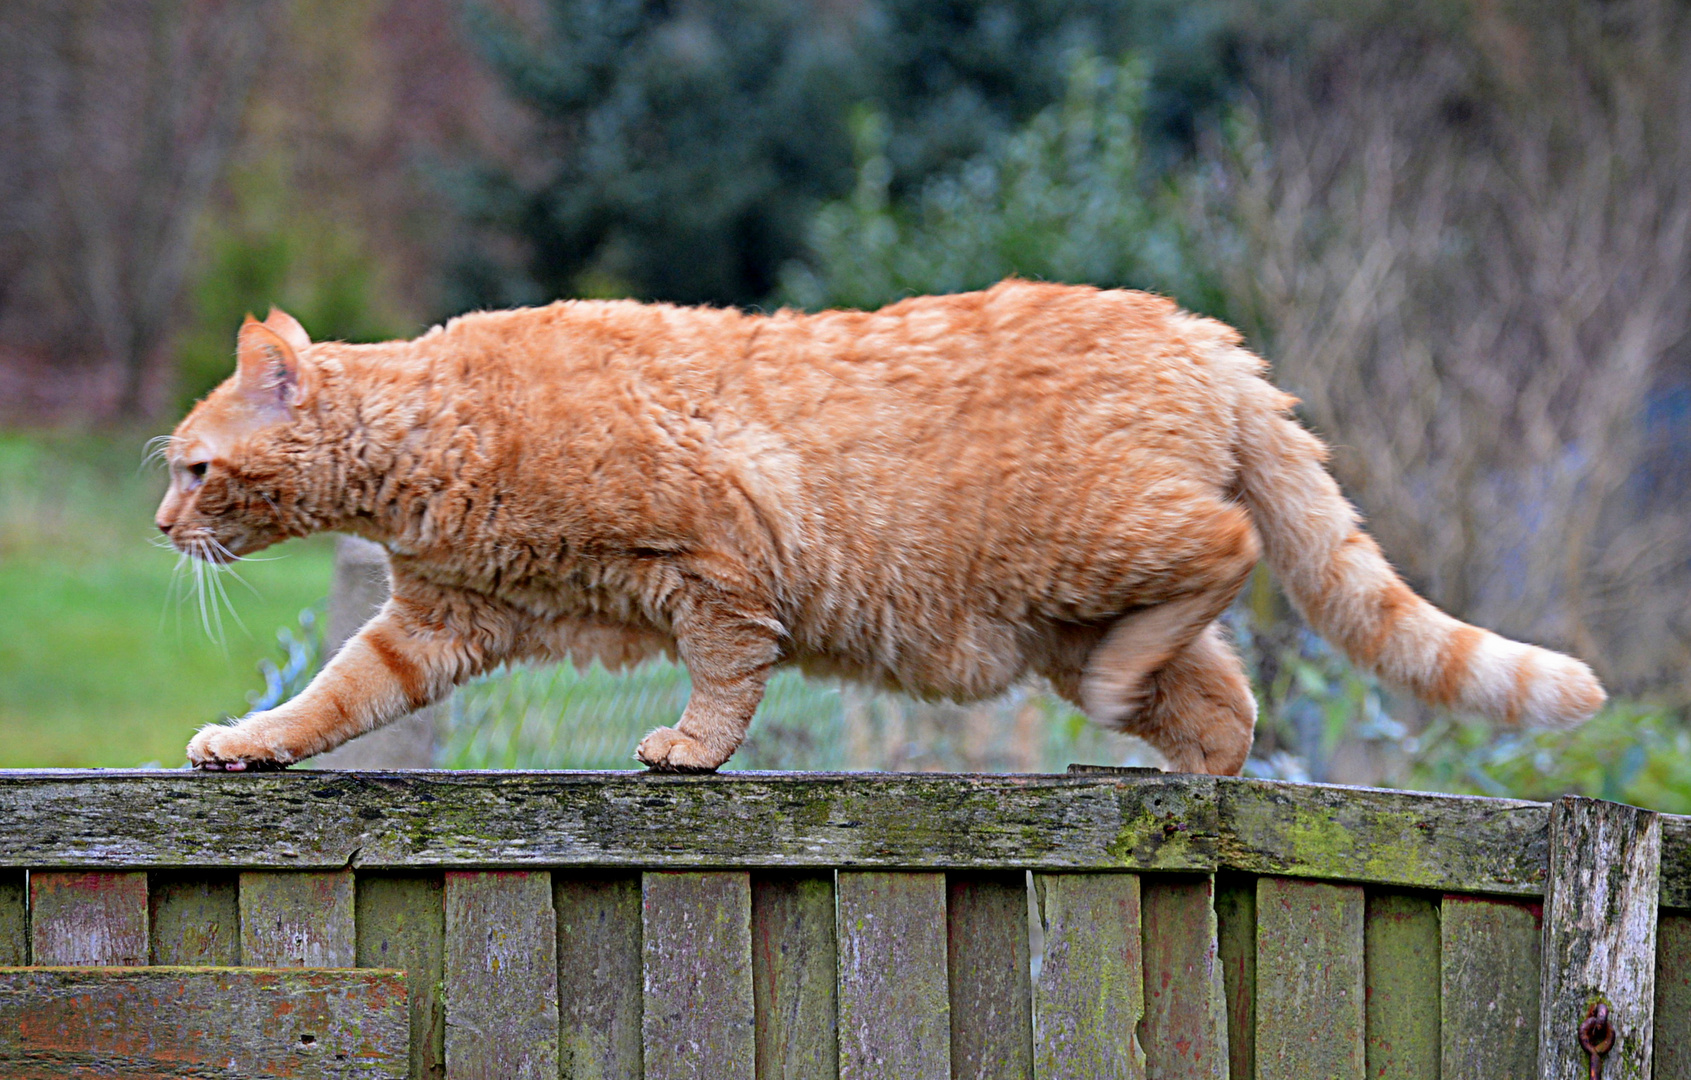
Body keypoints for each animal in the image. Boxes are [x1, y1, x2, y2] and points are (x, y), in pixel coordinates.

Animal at [161, 285, 1609, 777]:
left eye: (191, 468)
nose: (164, 522)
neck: (435, 436)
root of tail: (1194, 329)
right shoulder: (435, 626)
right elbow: (331, 699)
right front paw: (244, 743)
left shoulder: (716, 562)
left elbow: (727, 678)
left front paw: (689, 751)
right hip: (1071, 610)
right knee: (1227, 704)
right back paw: (1170, 749)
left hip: (1102, 537)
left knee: (1230, 551)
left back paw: (1132, 697)